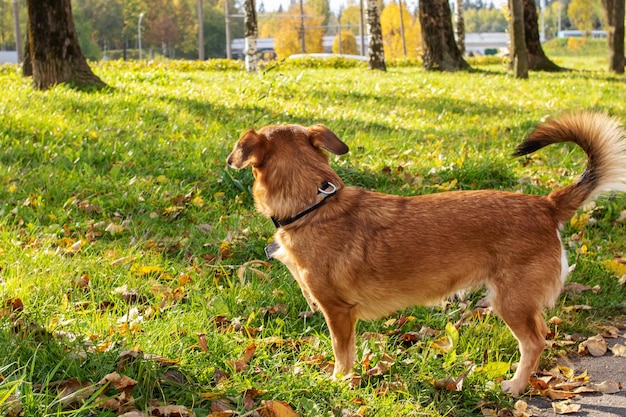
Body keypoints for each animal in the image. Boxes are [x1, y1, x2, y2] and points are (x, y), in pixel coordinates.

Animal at [227, 112, 624, 394]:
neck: (313, 204)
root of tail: (545, 205)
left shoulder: (338, 312)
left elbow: (343, 354)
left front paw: (340, 381)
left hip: (510, 301)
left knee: (534, 342)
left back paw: (515, 386)